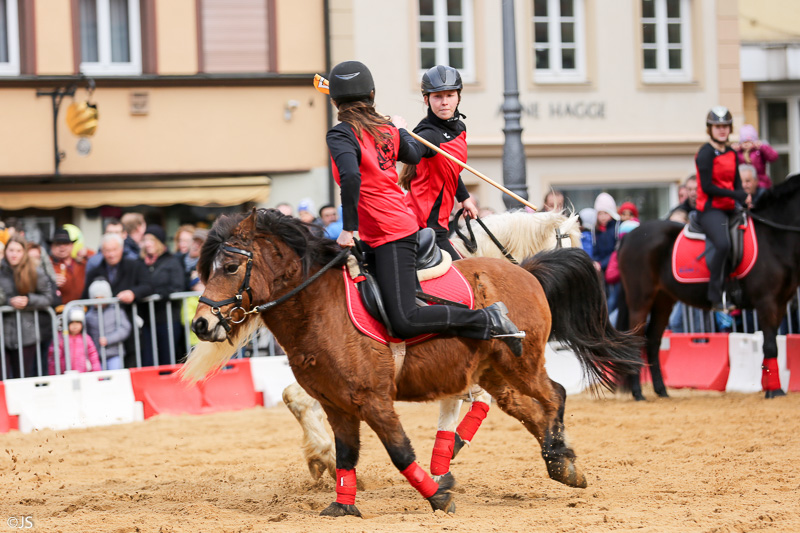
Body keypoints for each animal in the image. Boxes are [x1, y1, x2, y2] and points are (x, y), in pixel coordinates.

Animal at [184, 208, 640, 516]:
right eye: (213, 267)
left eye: (229, 266)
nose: (201, 323)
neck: (319, 305)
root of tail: (526, 272)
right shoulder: (342, 404)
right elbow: (353, 452)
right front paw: (346, 501)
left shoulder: (376, 399)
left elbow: (404, 449)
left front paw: (440, 487)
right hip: (503, 371)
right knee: (536, 406)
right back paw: (560, 460)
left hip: (519, 366)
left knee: (553, 395)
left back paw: (558, 457)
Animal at [620, 174, 800, 400]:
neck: (773, 238)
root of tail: (629, 235)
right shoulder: (766, 302)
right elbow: (770, 346)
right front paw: (773, 390)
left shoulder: (781, 303)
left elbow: (772, 343)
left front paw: (772, 387)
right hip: (640, 300)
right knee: (635, 340)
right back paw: (638, 393)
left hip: (664, 299)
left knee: (653, 341)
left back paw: (661, 391)